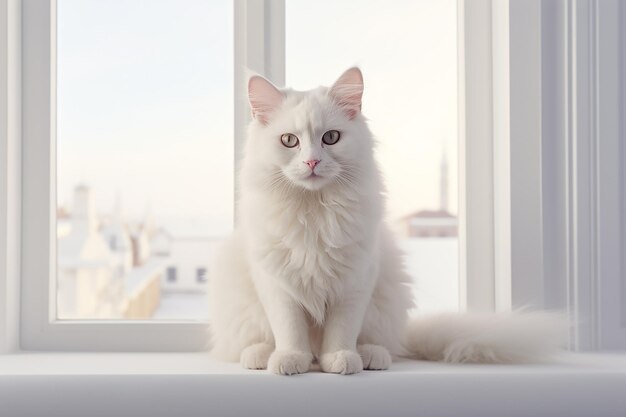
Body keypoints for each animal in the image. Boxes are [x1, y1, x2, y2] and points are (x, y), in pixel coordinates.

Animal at [207, 67, 564, 374]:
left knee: (380, 344)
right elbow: (289, 328)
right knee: (259, 341)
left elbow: (341, 330)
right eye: (289, 141)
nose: (311, 162)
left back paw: (367, 356)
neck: (315, 210)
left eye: (331, 138)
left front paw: (340, 359)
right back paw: (263, 355)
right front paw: (290, 359)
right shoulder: (277, 284)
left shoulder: (355, 280)